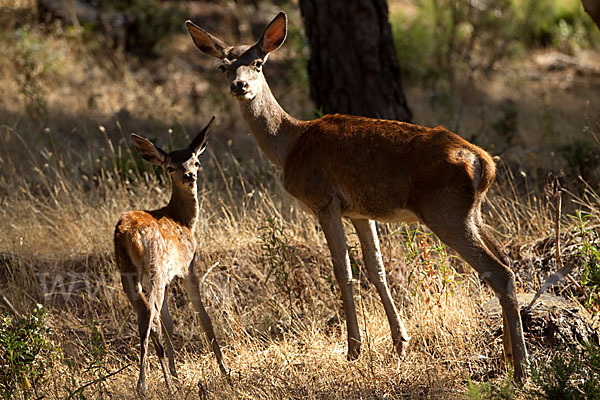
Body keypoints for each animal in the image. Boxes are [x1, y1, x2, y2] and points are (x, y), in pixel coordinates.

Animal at [114, 118, 227, 394]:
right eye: (170, 167)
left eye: (196, 161)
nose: (189, 175)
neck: (183, 221)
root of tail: (126, 233)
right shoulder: (187, 267)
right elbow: (204, 318)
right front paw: (225, 372)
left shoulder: (167, 276)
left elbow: (169, 323)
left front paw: (176, 374)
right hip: (155, 265)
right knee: (150, 314)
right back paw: (146, 384)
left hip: (127, 271)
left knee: (145, 315)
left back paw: (160, 380)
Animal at [185, 13, 528, 382]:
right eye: (224, 66)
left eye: (259, 63)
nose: (240, 86)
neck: (290, 144)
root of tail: (483, 162)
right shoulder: (361, 212)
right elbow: (376, 269)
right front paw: (400, 342)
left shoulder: (325, 201)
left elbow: (343, 271)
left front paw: (353, 349)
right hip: (472, 212)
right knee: (505, 261)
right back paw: (508, 355)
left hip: (445, 210)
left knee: (498, 272)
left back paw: (521, 368)